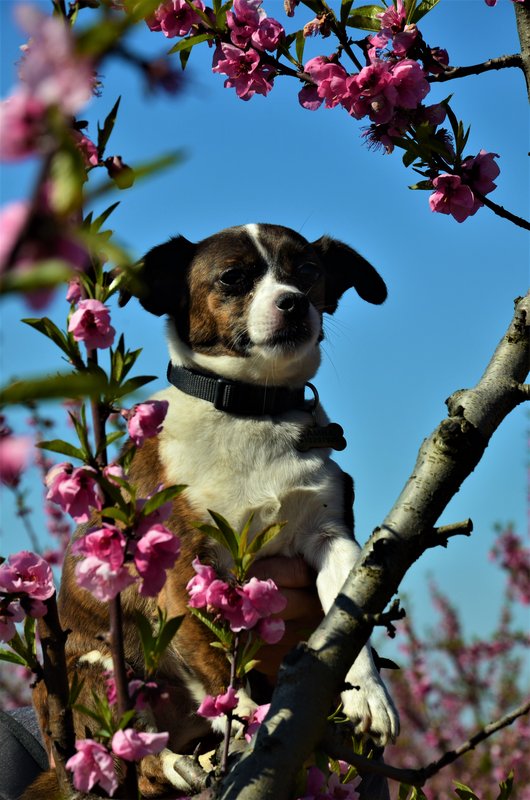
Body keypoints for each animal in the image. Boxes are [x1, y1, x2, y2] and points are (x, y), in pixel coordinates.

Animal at [25, 223, 396, 800]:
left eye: (308, 272)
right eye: (233, 278)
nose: (293, 302)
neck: (250, 408)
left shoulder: (334, 540)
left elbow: (349, 618)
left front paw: (368, 694)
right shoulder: (184, 569)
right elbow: (220, 664)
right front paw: (245, 718)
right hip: (100, 666)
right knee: (139, 761)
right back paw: (185, 763)